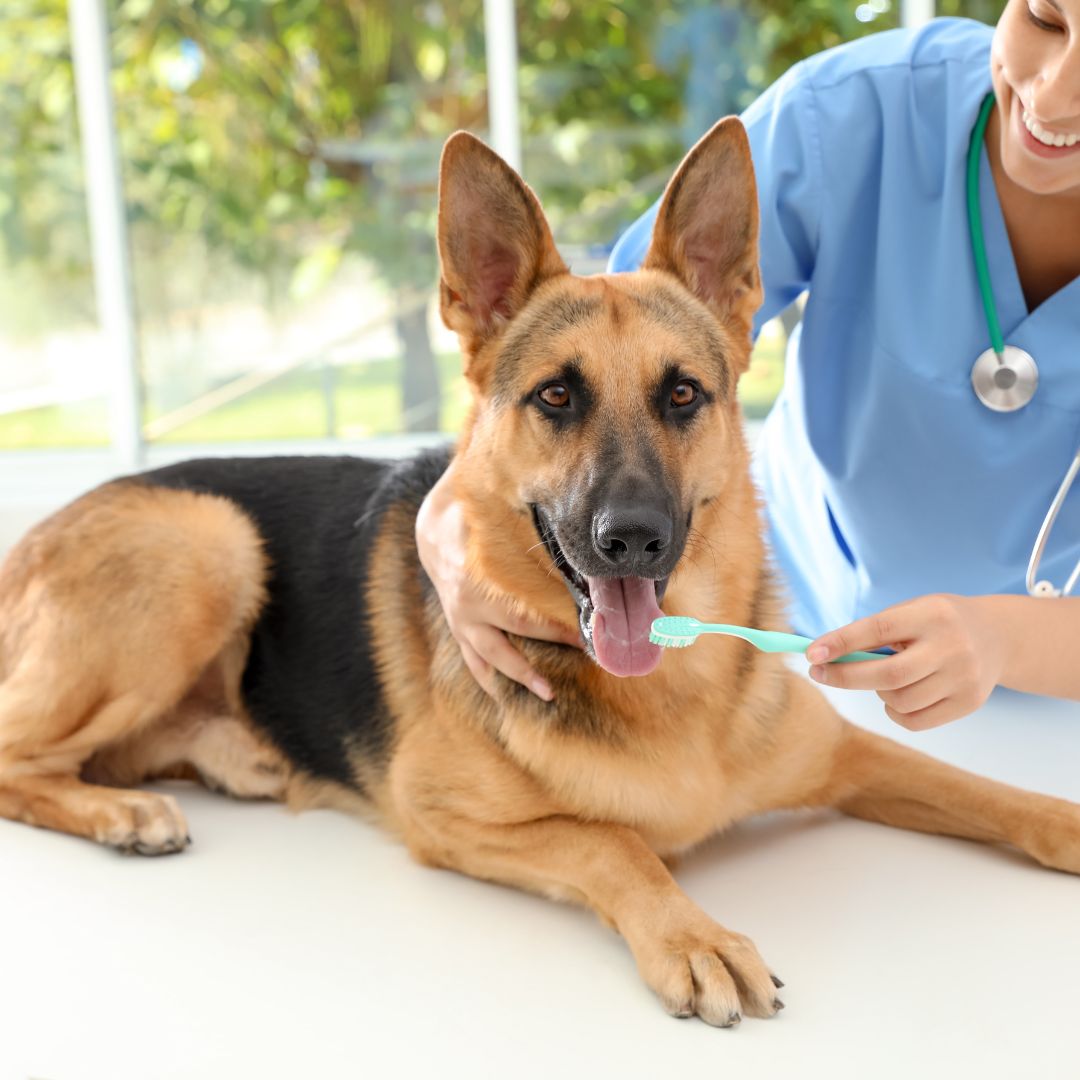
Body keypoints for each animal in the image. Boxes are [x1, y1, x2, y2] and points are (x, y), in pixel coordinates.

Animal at [2, 122, 1080, 1023]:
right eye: (557, 396)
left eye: (683, 395)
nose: (632, 539)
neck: (670, 692)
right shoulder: (445, 819)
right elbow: (615, 841)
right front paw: (692, 934)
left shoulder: (848, 755)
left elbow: (982, 788)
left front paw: (1061, 818)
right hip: (210, 541)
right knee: (20, 755)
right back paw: (123, 812)